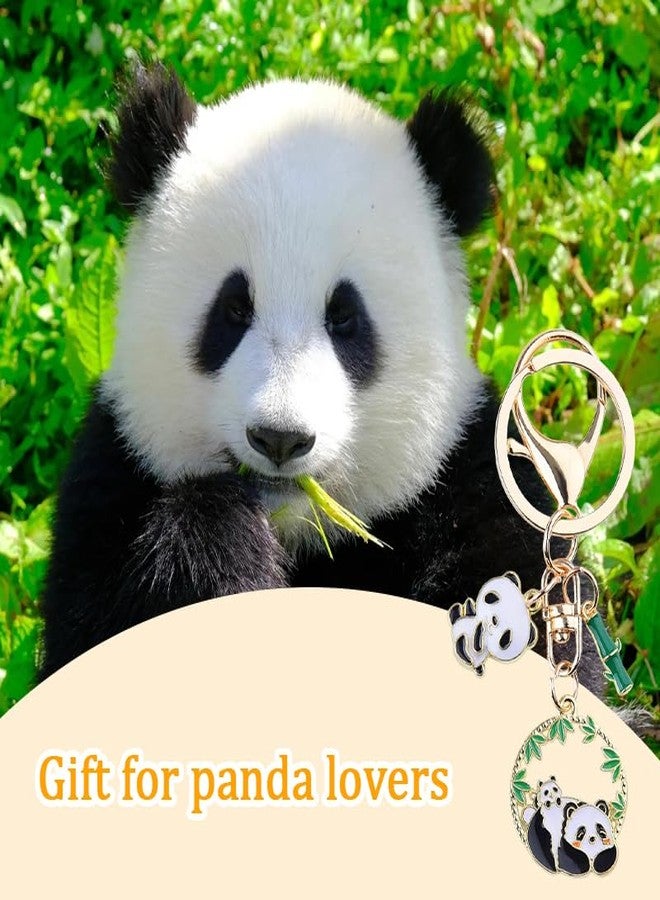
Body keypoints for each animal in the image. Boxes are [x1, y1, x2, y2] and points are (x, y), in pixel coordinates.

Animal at [37, 63, 606, 691]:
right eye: (233, 309)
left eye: (344, 317)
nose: (280, 438)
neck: (302, 533)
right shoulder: (110, 477)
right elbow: (92, 634)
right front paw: (222, 554)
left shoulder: (477, 480)